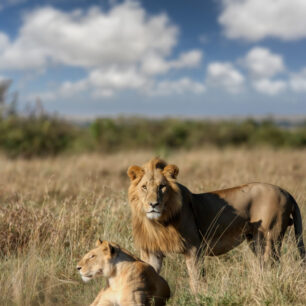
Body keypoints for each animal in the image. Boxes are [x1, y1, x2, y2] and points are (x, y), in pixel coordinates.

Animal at [127, 158, 306, 292]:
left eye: (162, 187)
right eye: (144, 187)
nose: (153, 204)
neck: (159, 221)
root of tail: (286, 192)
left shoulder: (194, 248)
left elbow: (196, 280)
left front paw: (198, 298)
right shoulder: (151, 252)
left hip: (269, 239)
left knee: (273, 267)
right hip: (255, 241)